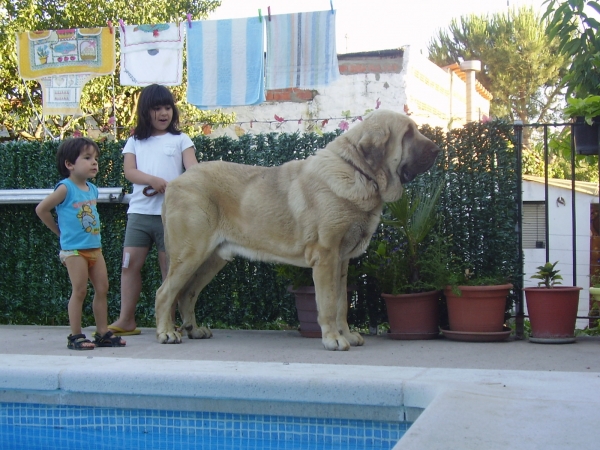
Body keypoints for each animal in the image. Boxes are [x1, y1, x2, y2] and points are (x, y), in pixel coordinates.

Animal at [156, 110, 440, 350]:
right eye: (408, 133)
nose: (438, 149)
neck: (358, 171)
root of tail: (174, 183)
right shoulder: (326, 256)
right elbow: (328, 302)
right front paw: (333, 339)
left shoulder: (342, 261)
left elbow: (342, 304)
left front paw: (346, 335)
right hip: (191, 253)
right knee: (165, 293)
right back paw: (166, 333)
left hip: (213, 259)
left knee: (187, 294)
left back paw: (193, 330)